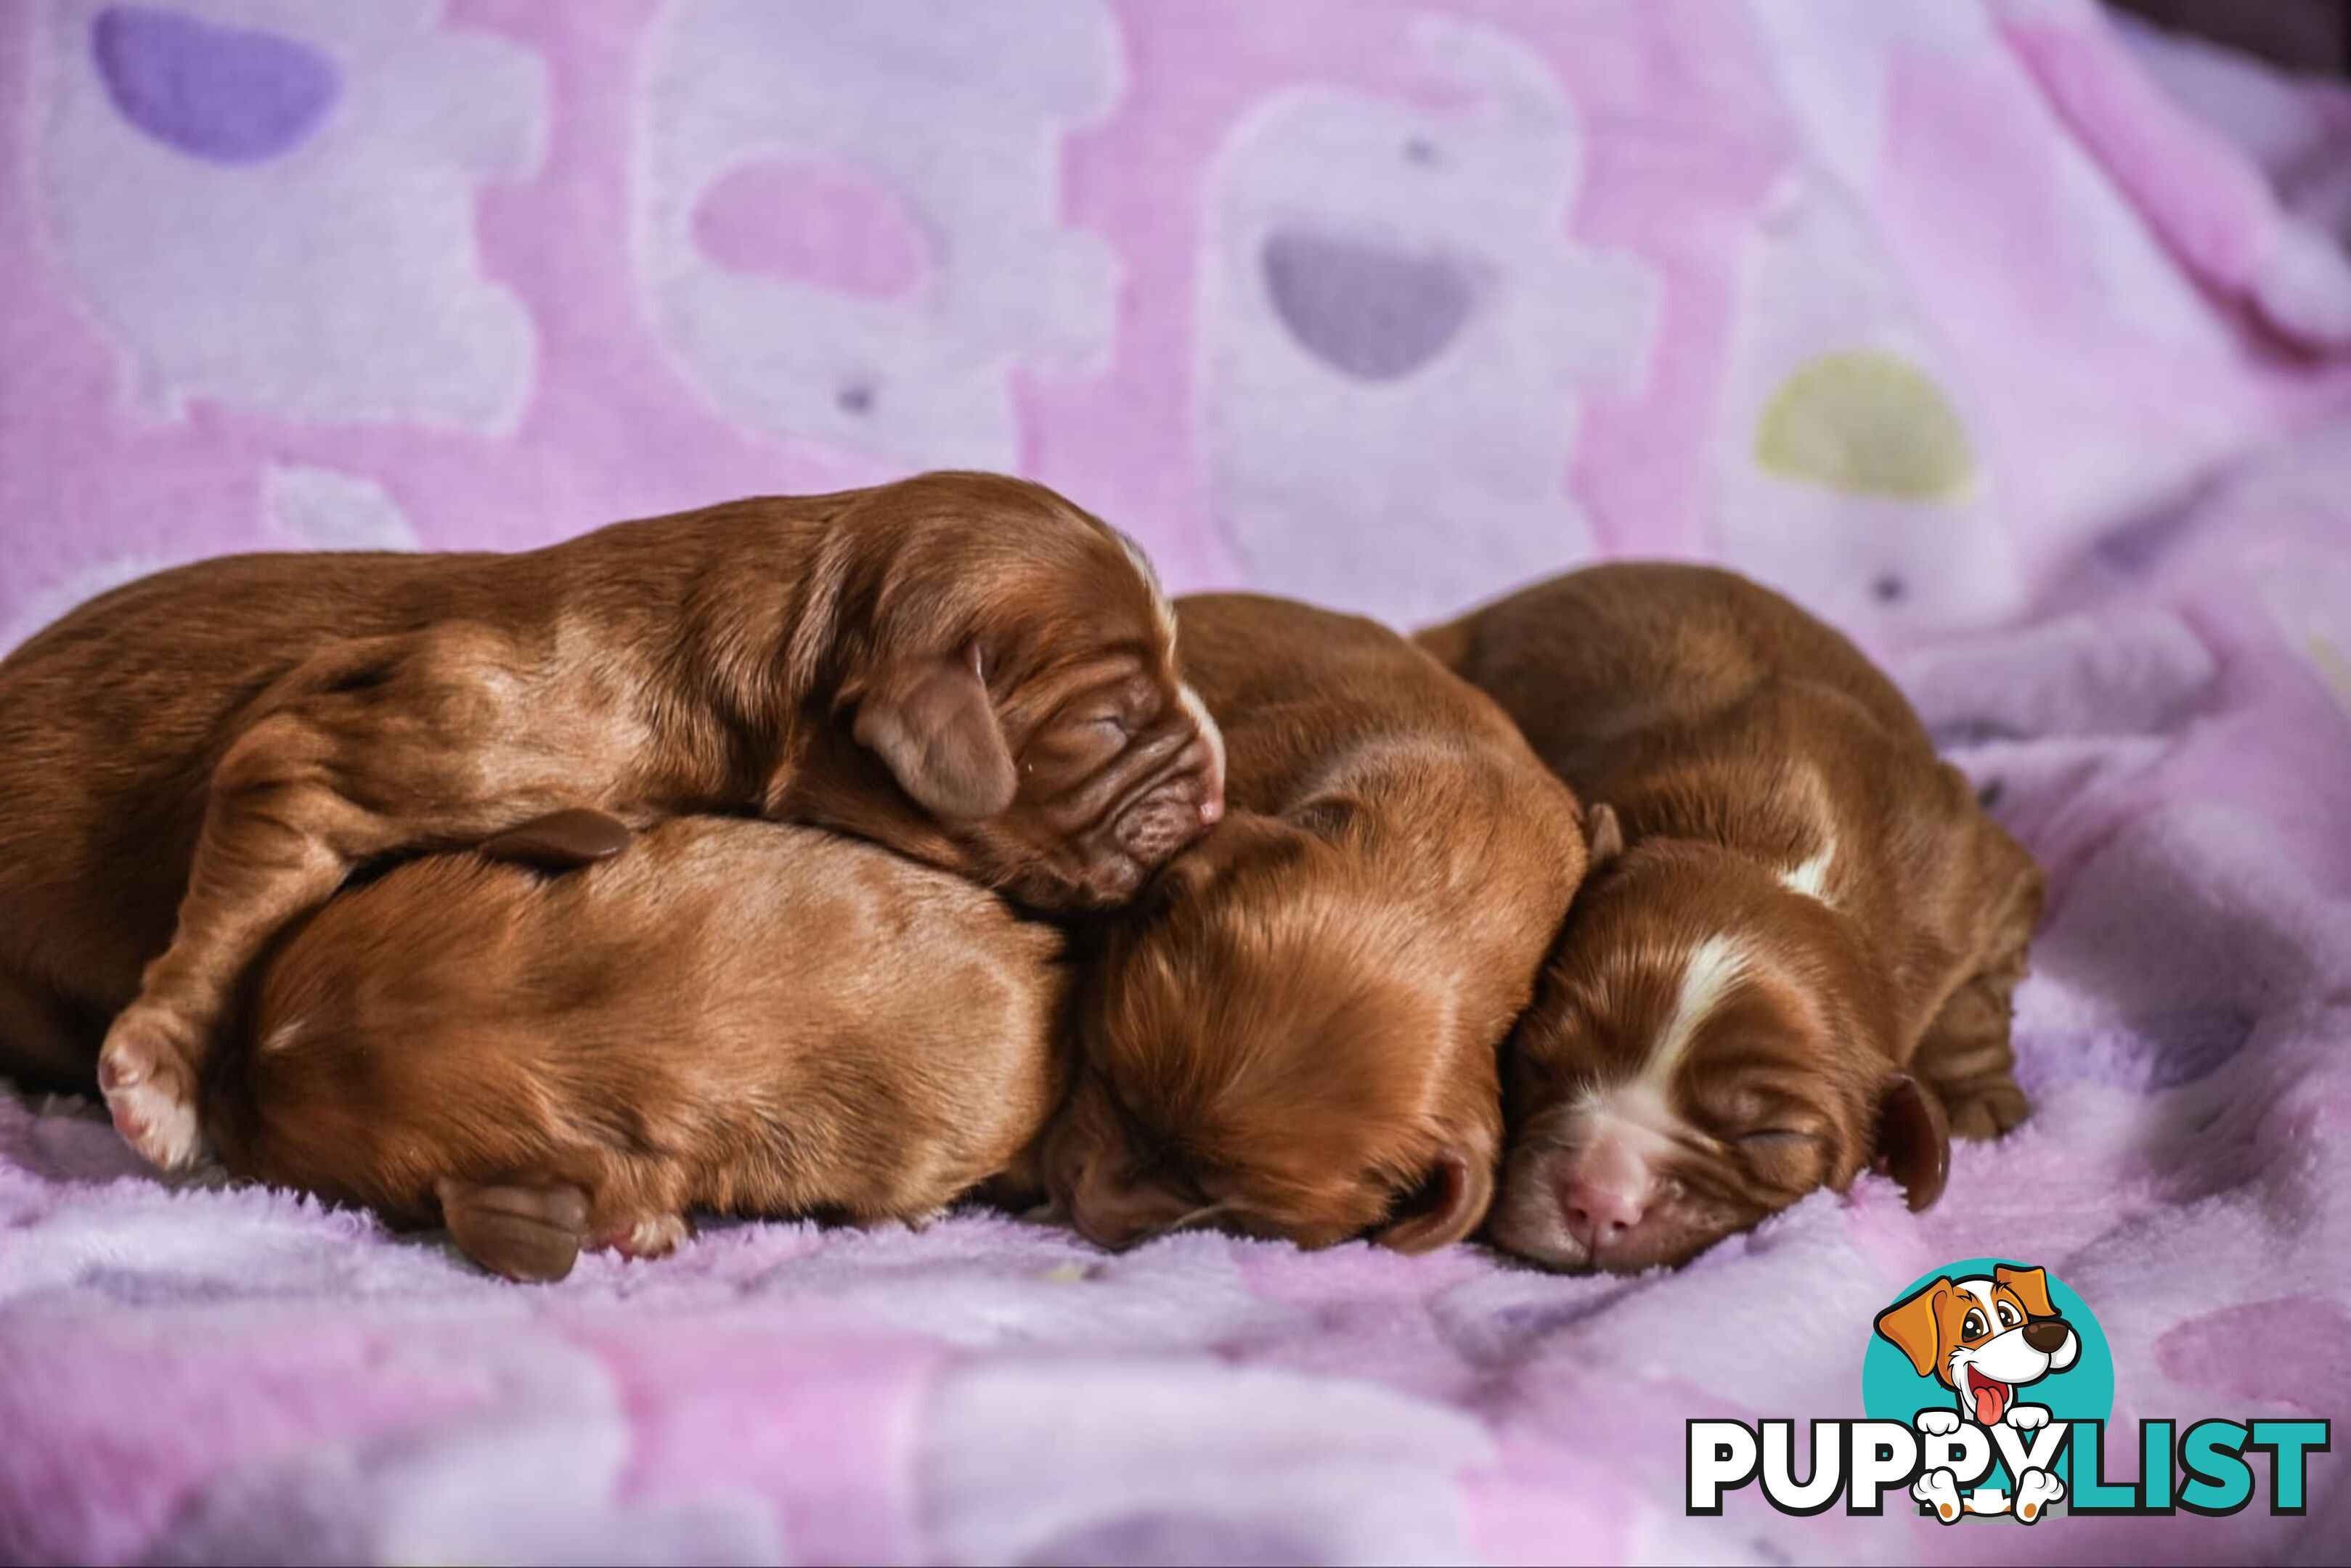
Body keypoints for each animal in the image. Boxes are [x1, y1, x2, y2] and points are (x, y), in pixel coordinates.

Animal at [1410, 564, 2040, 1278]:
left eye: (1769, 1134)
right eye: (1537, 1062)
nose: (1599, 1201)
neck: (1769, 852)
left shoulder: (1976, 881)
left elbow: (1972, 1006)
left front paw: (1977, 1103)